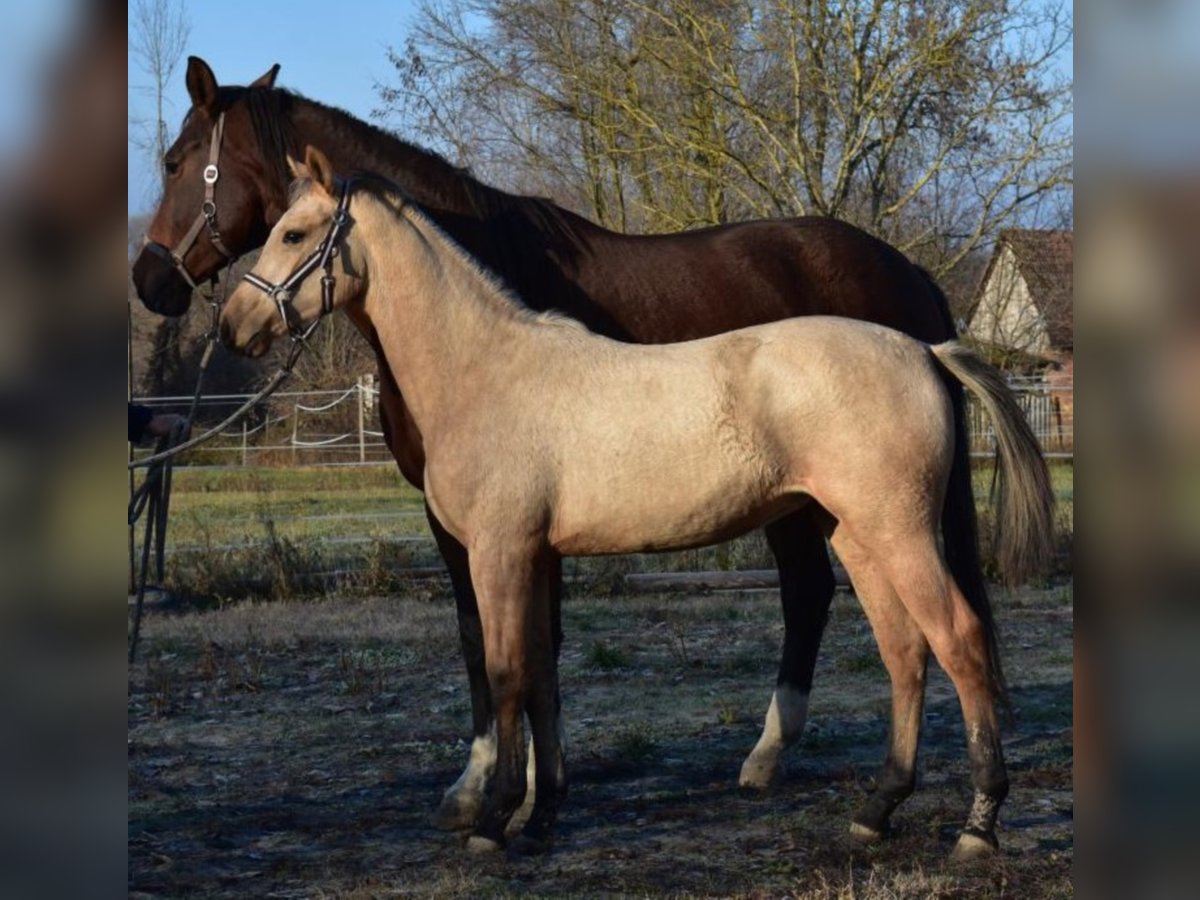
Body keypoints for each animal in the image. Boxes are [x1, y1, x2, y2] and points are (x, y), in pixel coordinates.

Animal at [136, 60, 1003, 840]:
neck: (486, 364)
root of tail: (924, 346)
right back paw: (873, 806)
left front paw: (489, 814)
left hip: (895, 531)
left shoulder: (494, 546)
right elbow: (540, 668)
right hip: (853, 529)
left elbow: (502, 668)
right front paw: (539, 805)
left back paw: (976, 823)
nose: (228, 324)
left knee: (955, 639)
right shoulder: (531, 549)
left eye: (294, 232)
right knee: (901, 646)